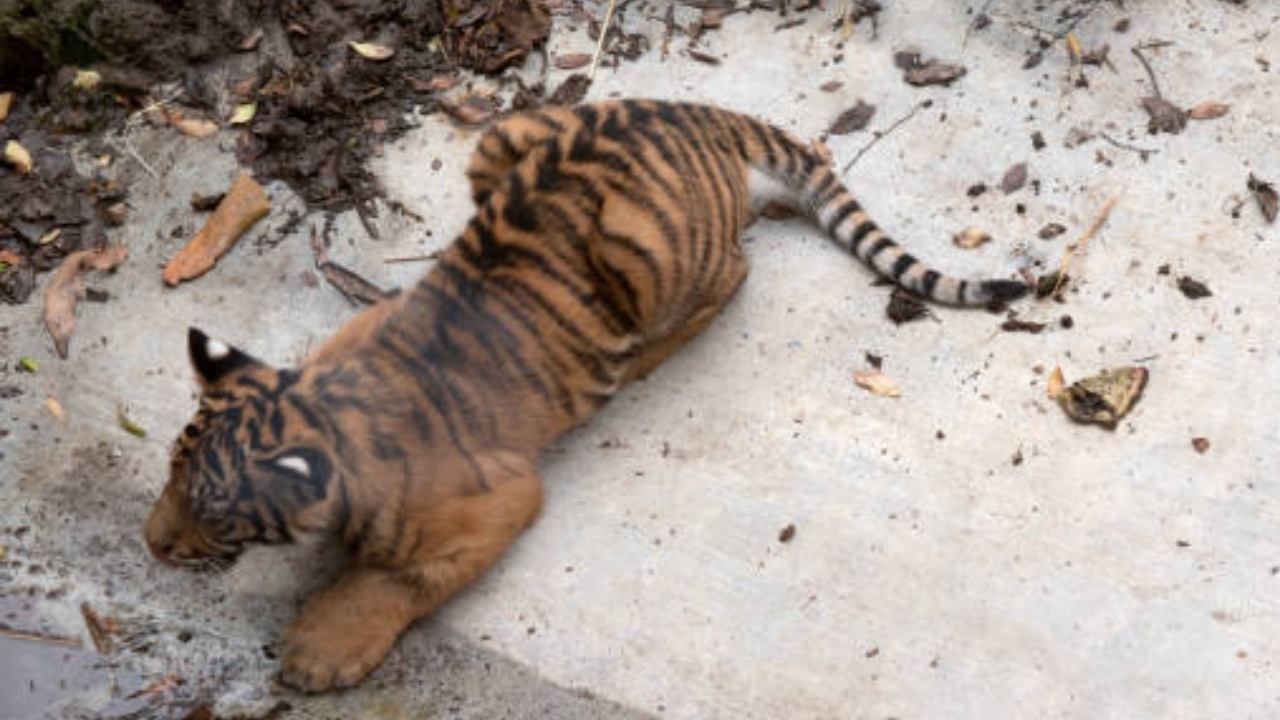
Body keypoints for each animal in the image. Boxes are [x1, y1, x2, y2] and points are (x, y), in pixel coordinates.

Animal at [140, 96, 1024, 691]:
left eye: (215, 510)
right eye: (169, 475)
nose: (150, 544)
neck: (325, 406)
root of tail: (698, 116)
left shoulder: (502, 500)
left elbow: (401, 579)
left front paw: (320, 650)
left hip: (645, 247)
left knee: (737, 273)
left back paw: (642, 357)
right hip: (504, 137)